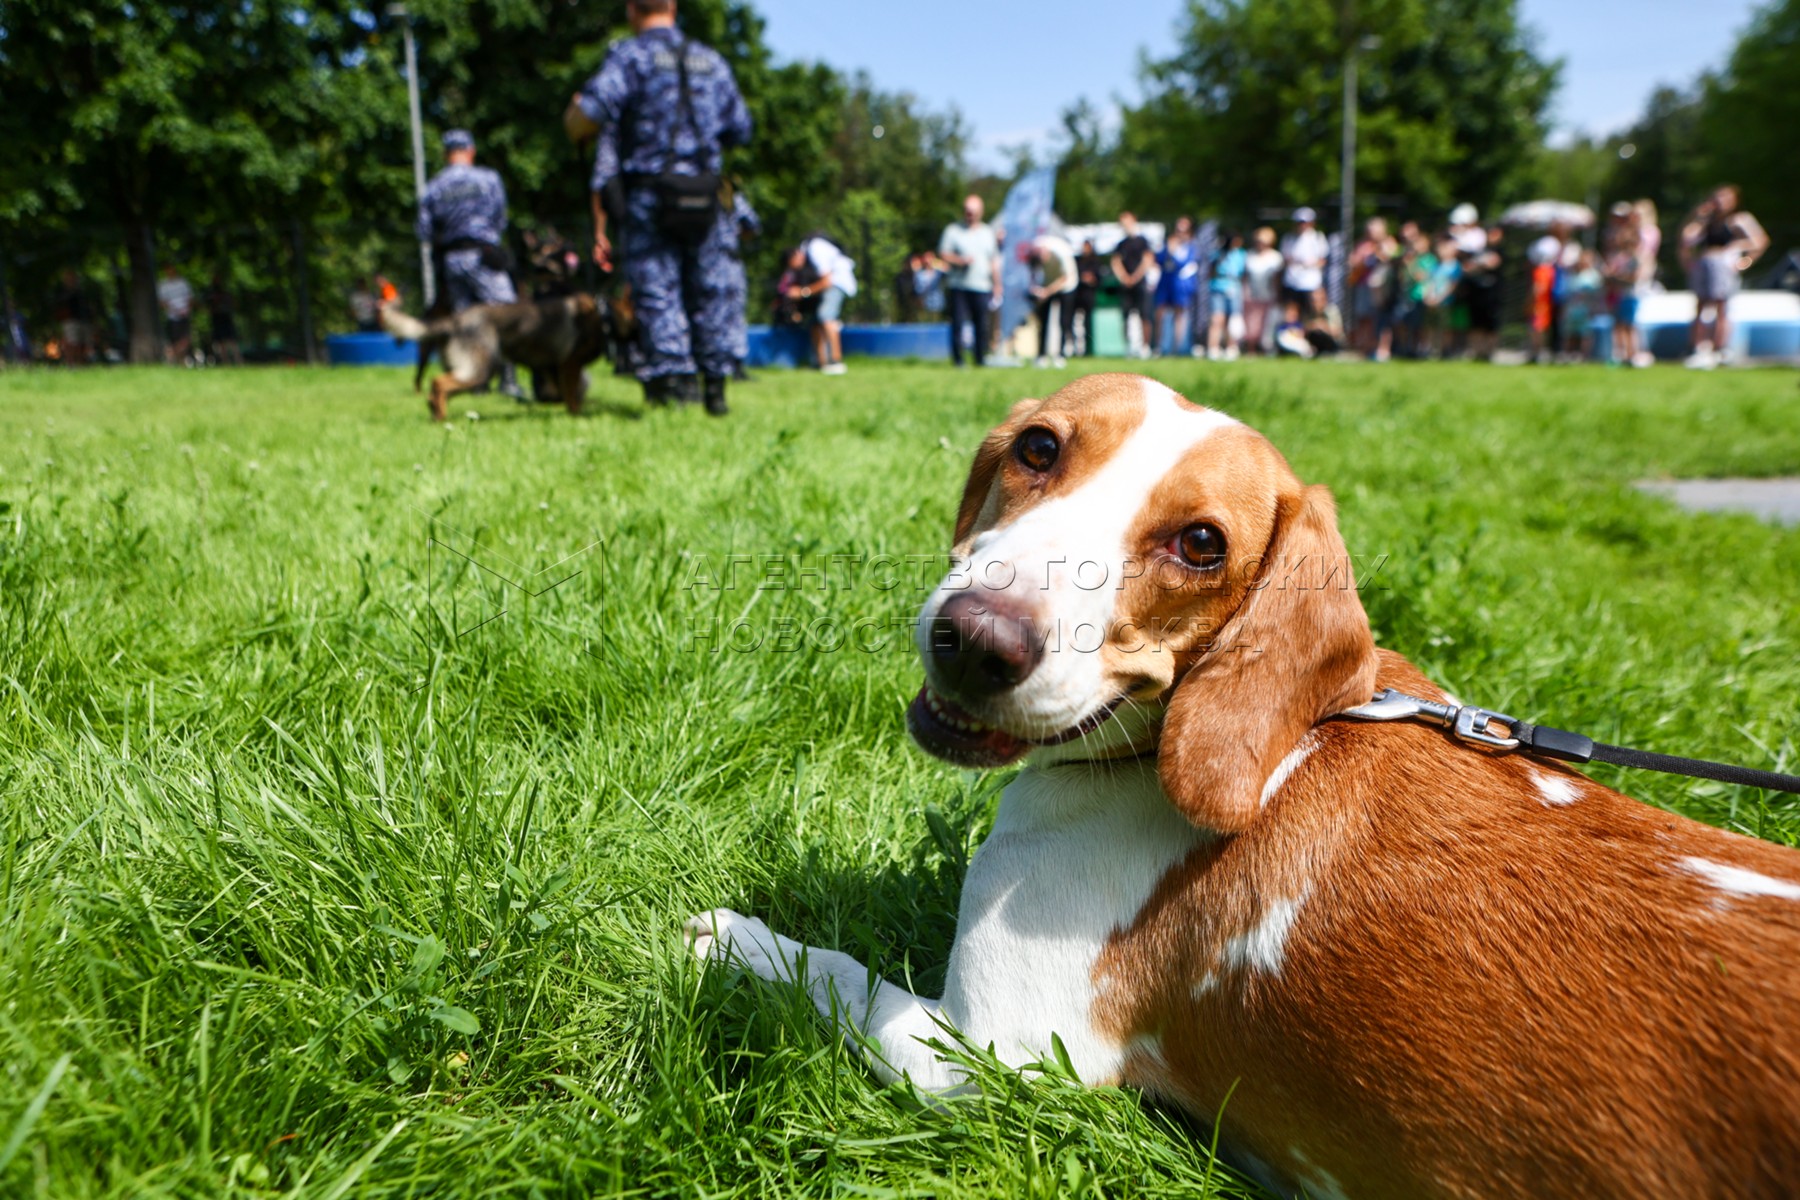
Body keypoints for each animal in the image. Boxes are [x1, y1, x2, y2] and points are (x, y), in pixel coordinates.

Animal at [379, 291, 612, 420]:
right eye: (594, 336)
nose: (598, 352)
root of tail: (455, 320)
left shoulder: (555, 367)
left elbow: (570, 392)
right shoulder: (570, 363)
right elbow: (573, 394)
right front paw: (577, 415)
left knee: (437, 390)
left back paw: (436, 413)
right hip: (481, 369)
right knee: (439, 383)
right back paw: (441, 417)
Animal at [684, 370, 1800, 1194]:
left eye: (1200, 544)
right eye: (1038, 448)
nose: (978, 640)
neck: (1279, 743)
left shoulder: (985, 1051)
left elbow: (839, 975)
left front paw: (740, 940)